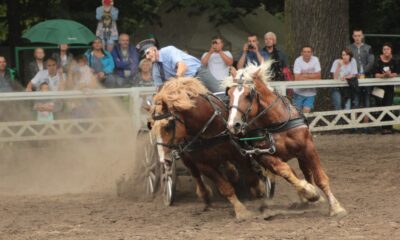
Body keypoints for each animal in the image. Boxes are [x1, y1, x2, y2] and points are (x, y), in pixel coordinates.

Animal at [150, 77, 266, 219]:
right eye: (152, 127)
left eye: (167, 126)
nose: (164, 160)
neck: (205, 127)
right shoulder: (203, 164)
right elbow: (225, 187)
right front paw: (241, 210)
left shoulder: (238, 152)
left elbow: (250, 176)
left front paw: (259, 191)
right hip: (186, 157)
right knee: (195, 173)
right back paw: (204, 194)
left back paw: (232, 173)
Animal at [225, 62, 346, 218]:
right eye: (229, 94)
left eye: (247, 95)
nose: (233, 125)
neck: (275, 124)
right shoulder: (263, 155)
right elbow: (285, 171)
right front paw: (309, 192)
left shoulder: (308, 147)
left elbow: (320, 178)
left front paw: (335, 207)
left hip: (301, 154)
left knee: (306, 171)